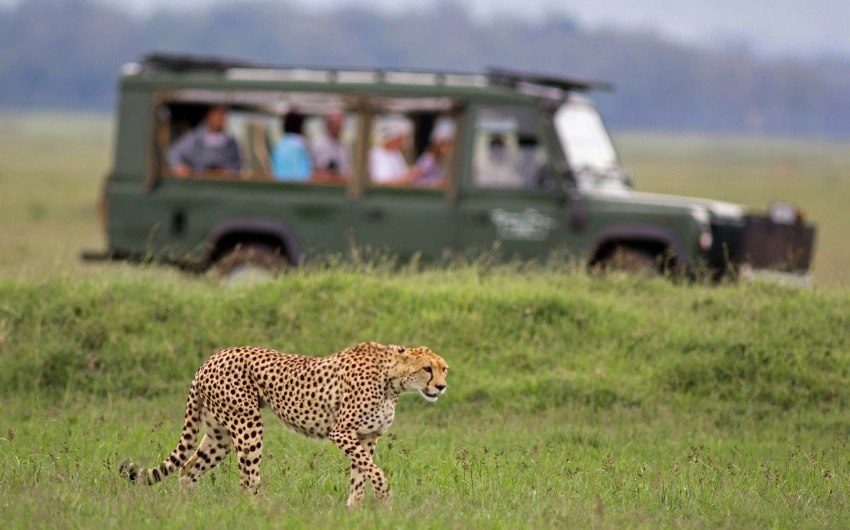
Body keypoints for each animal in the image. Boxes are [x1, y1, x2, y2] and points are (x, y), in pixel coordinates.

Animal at [118, 341, 448, 506]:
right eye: (427, 369)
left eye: (444, 369)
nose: (442, 387)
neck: (393, 380)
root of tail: (210, 359)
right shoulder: (342, 432)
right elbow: (374, 472)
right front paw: (384, 498)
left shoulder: (366, 437)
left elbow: (361, 474)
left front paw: (355, 509)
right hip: (248, 424)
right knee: (246, 480)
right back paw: (260, 510)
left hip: (219, 435)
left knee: (188, 469)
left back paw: (189, 509)